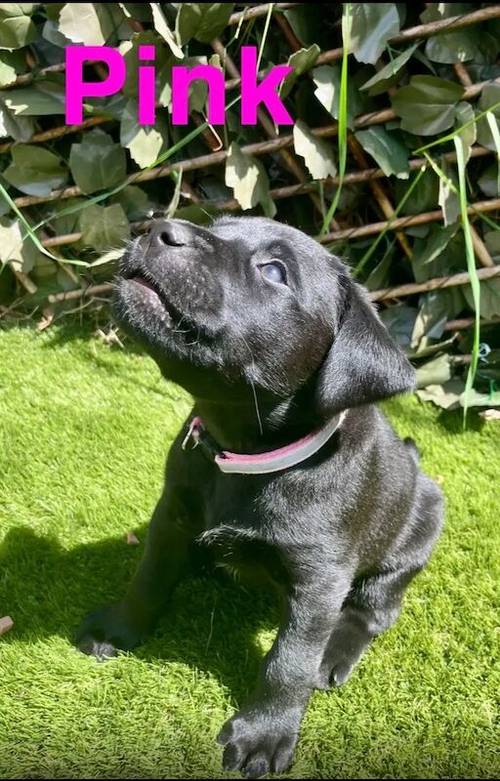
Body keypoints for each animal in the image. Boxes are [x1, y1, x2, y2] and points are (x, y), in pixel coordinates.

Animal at [78, 215, 446, 780]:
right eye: (216, 226)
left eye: (274, 271)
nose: (157, 226)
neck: (244, 457)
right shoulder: (171, 516)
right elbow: (149, 578)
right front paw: (120, 628)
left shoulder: (320, 579)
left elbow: (288, 662)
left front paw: (265, 733)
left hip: (418, 529)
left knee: (375, 609)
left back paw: (335, 652)